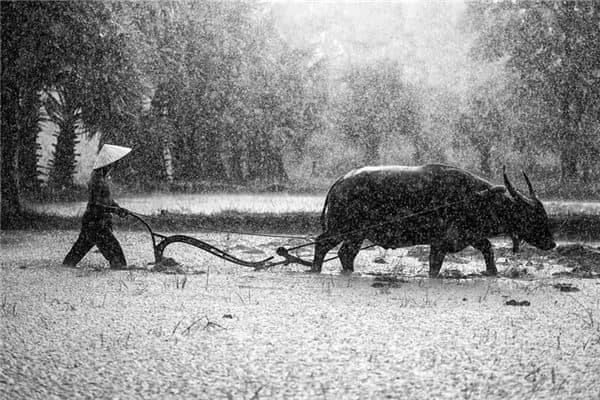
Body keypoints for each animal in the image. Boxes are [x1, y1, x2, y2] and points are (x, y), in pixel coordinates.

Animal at [312, 164, 556, 276]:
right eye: (534, 217)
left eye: (544, 215)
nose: (552, 243)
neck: (475, 198)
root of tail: (340, 181)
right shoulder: (441, 242)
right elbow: (435, 264)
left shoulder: (471, 236)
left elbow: (488, 249)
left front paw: (492, 272)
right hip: (343, 229)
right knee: (322, 243)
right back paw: (315, 269)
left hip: (357, 234)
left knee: (345, 253)